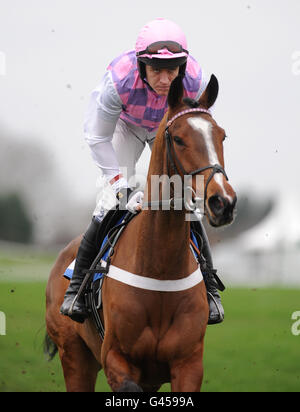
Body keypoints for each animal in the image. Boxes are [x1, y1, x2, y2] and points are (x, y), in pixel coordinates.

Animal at [45, 75, 237, 392]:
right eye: (179, 138)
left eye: (221, 136)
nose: (223, 202)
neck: (160, 269)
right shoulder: (116, 358)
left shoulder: (188, 365)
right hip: (74, 355)